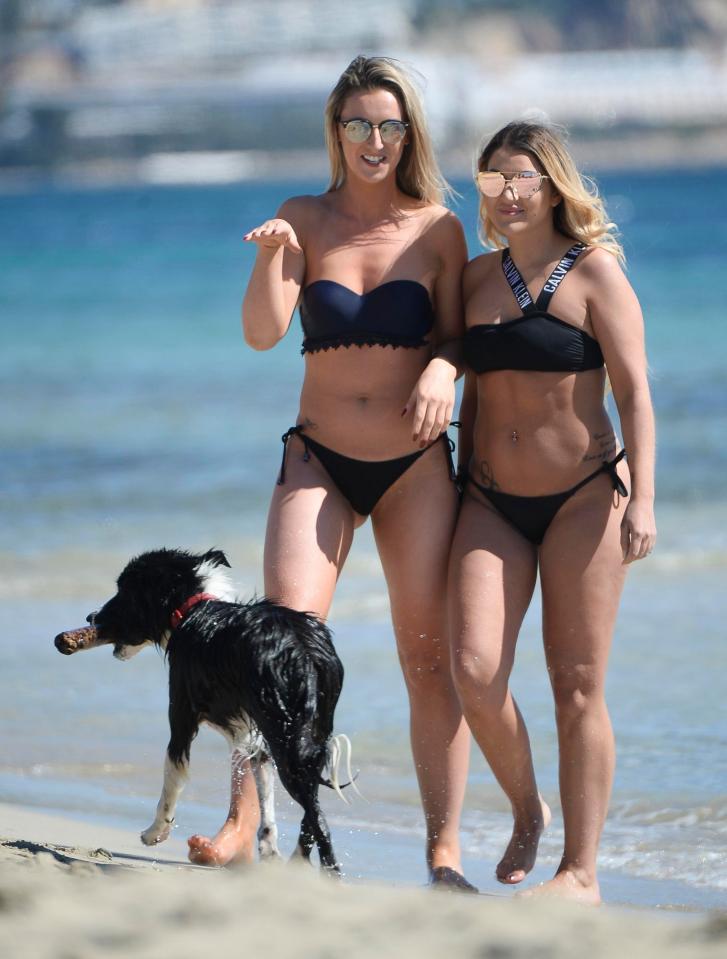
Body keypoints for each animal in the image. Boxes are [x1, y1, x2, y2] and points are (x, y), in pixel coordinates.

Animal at [56, 548, 346, 872]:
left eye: (124, 592)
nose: (90, 617)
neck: (191, 609)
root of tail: (305, 649)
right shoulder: (255, 739)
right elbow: (264, 795)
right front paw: (269, 851)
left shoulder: (181, 715)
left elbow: (172, 777)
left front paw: (155, 832)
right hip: (306, 732)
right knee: (312, 808)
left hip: (287, 737)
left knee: (317, 815)